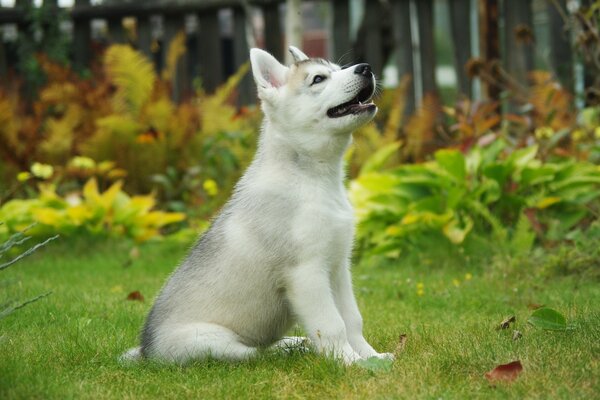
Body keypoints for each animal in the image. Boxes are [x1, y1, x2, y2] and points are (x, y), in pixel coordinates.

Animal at [122, 47, 394, 366]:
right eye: (318, 79)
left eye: (338, 69)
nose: (366, 68)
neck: (314, 178)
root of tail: (146, 351)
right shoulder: (306, 272)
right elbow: (332, 325)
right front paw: (350, 362)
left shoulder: (338, 268)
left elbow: (352, 319)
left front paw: (372, 357)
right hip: (213, 342)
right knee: (253, 354)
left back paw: (294, 343)